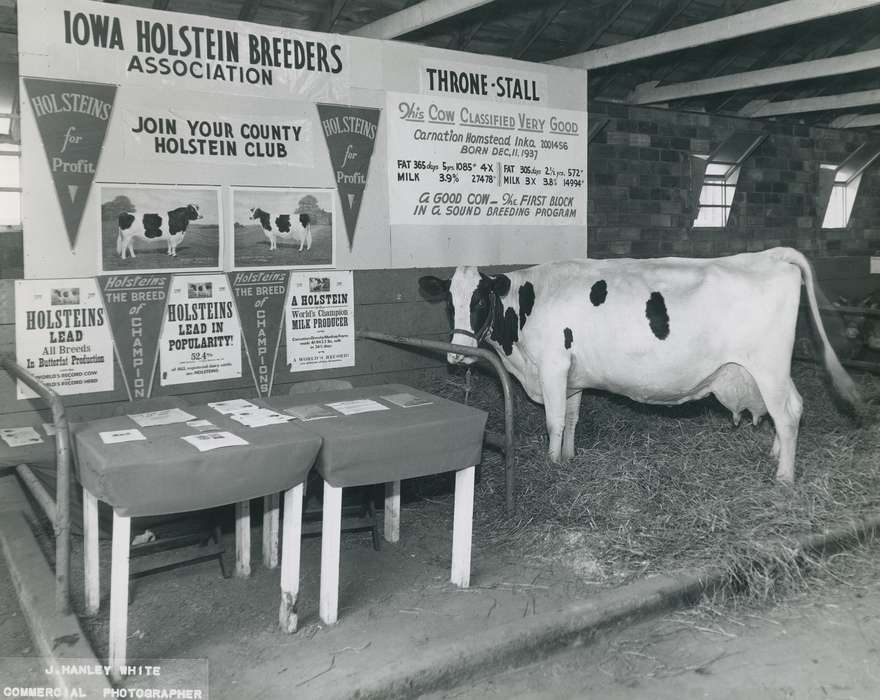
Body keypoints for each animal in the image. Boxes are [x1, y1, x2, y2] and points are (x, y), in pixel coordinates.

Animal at [419, 248, 861, 483]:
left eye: (480, 301)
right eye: (449, 303)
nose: (457, 353)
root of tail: (769, 256)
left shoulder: (552, 366)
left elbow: (555, 421)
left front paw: (552, 465)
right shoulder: (573, 375)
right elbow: (573, 418)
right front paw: (569, 458)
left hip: (767, 365)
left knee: (786, 414)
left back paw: (784, 476)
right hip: (773, 370)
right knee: (793, 405)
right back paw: (775, 456)